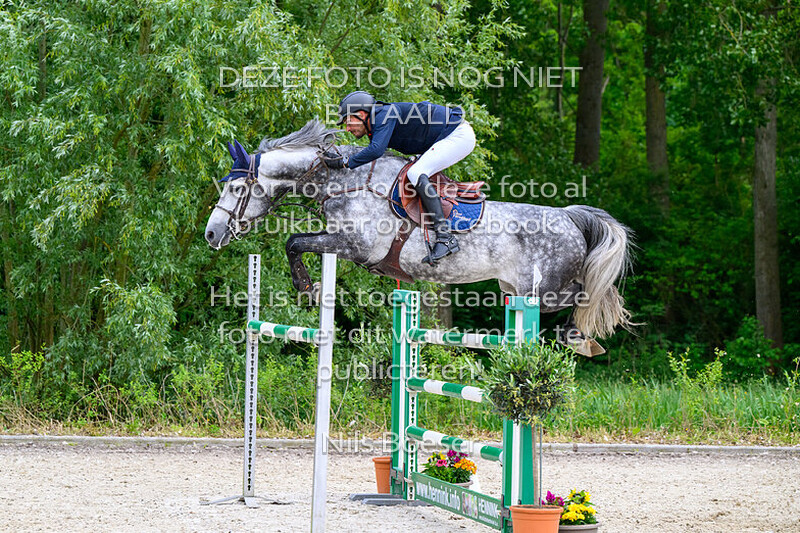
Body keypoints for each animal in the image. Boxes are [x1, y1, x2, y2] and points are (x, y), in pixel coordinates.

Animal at [205, 120, 634, 355]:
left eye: (237, 189)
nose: (211, 234)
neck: (341, 180)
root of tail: (568, 216)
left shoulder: (355, 247)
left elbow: (293, 241)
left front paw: (306, 288)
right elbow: (294, 241)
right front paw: (307, 287)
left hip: (542, 292)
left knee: (586, 291)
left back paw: (579, 335)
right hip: (513, 288)